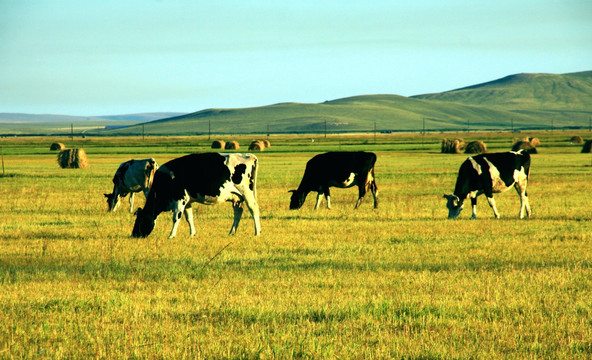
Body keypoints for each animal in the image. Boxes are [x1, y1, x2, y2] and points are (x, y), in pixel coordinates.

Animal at [132, 153, 262, 239]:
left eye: (139, 221)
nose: (134, 235)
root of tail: (249, 155)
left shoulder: (180, 199)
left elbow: (176, 218)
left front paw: (171, 235)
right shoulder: (187, 201)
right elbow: (189, 218)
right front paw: (192, 234)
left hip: (247, 193)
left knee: (253, 209)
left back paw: (257, 232)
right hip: (236, 197)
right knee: (238, 212)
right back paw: (232, 232)